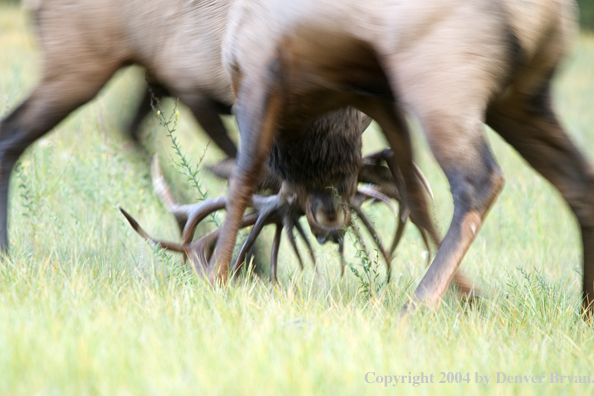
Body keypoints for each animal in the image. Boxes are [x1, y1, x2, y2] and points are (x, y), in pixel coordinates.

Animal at [194, 0, 592, 314]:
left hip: (441, 81)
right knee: (577, 182)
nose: (327, 228)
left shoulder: (258, 75)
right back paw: (584, 310)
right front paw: (471, 296)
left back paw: (417, 305)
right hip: (521, 97)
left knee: (478, 180)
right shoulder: (376, 98)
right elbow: (416, 199)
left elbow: (241, 179)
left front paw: (215, 278)